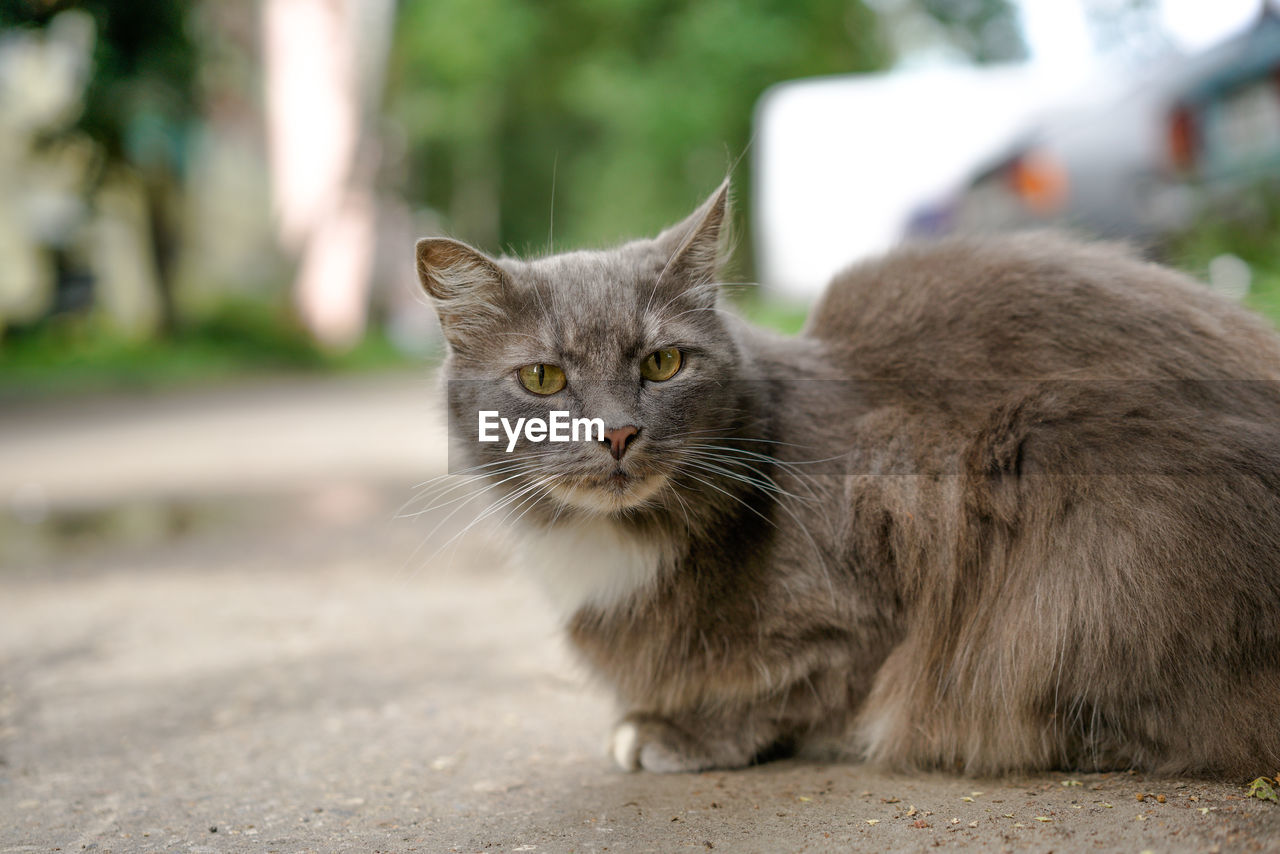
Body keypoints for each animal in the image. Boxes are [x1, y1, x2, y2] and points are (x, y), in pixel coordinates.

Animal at [414, 181, 1280, 783]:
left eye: (661, 363)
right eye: (543, 378)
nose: (619, 433)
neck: (617, 539)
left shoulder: (887, 545)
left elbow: (804, 687)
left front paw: (675, 733)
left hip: (1077, 519)